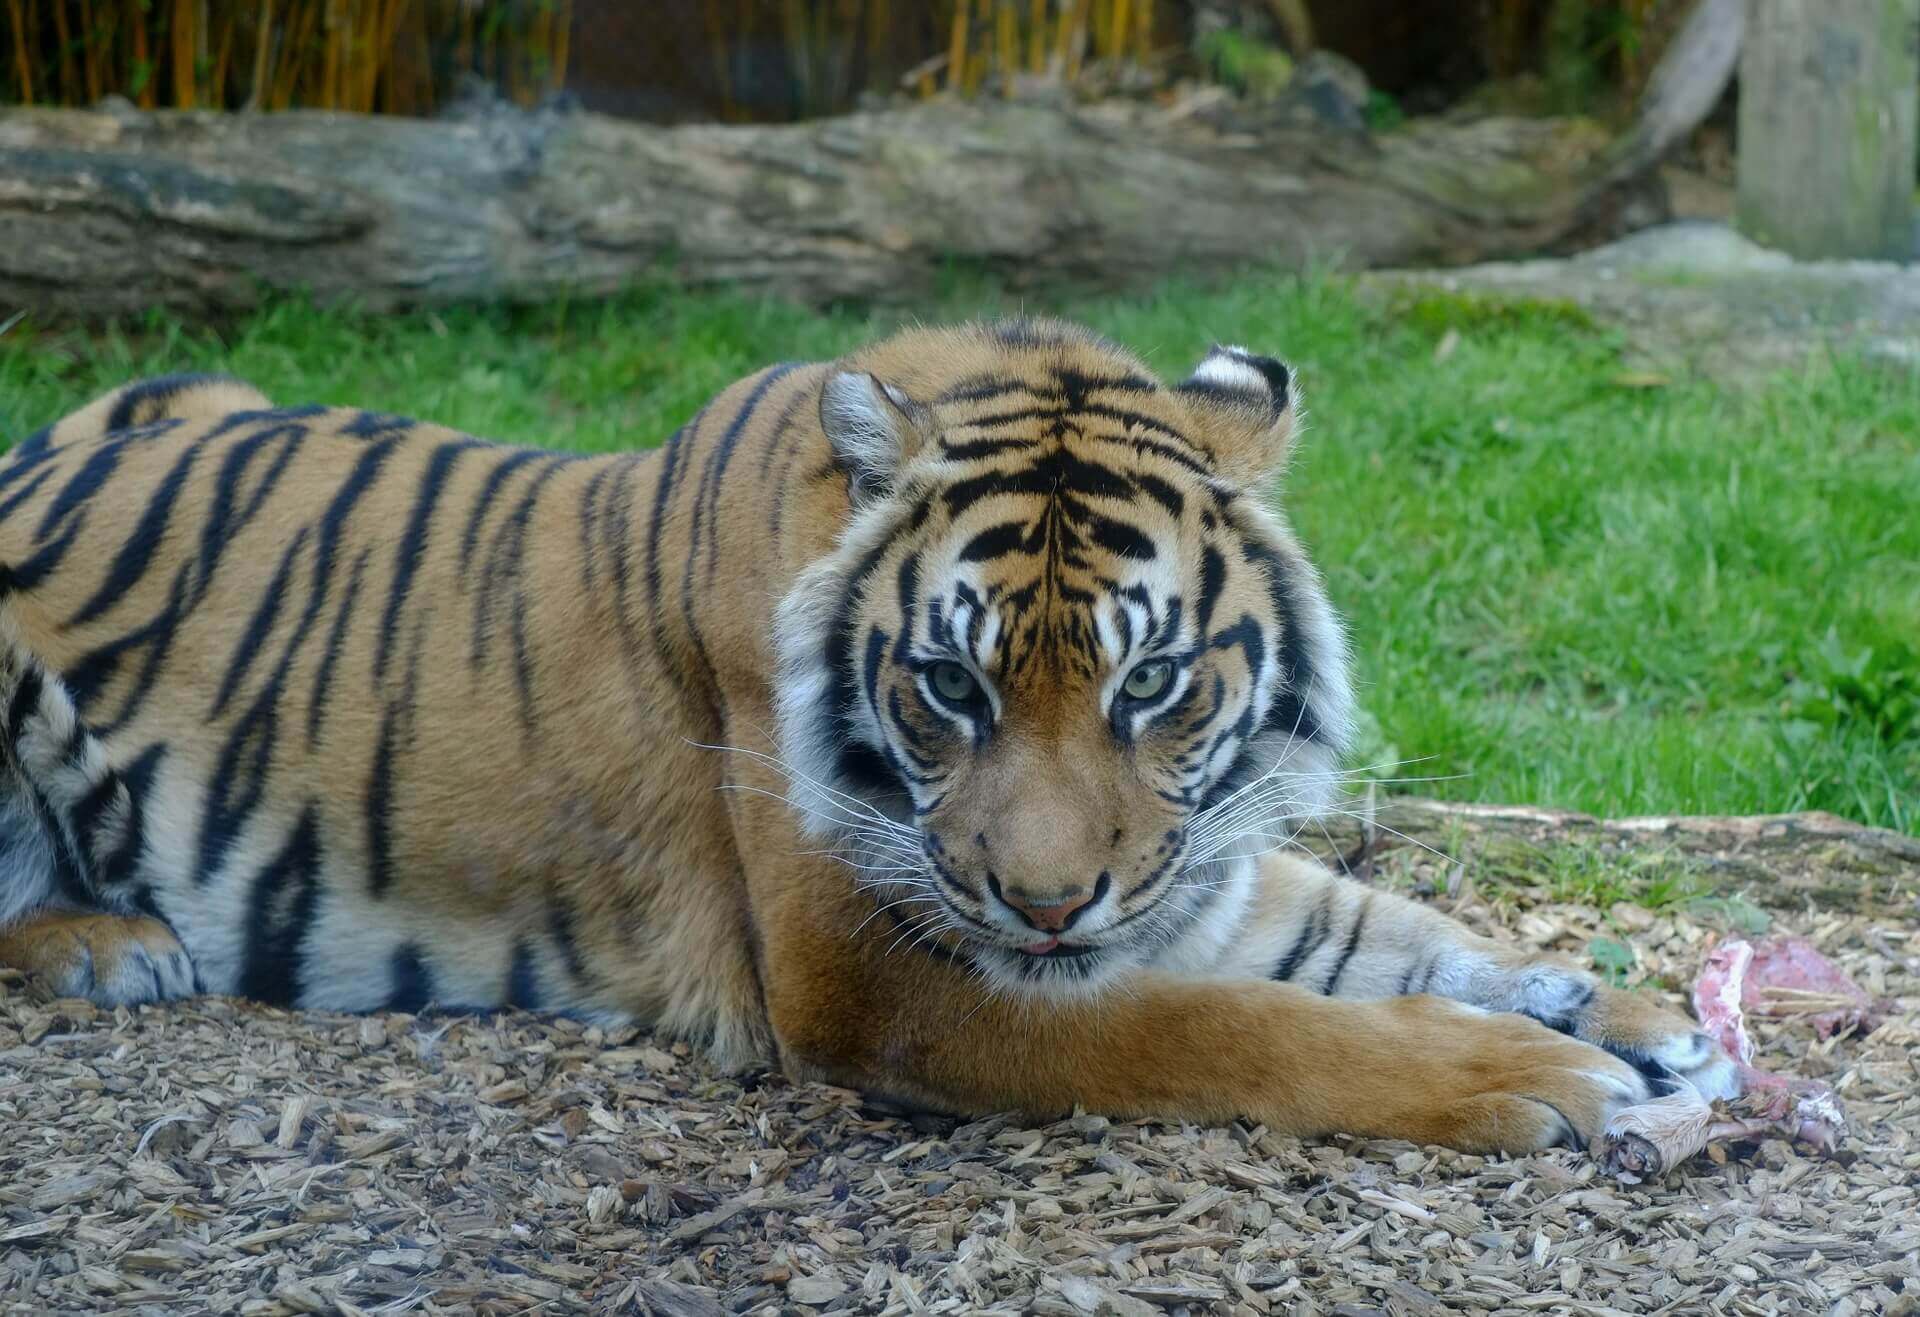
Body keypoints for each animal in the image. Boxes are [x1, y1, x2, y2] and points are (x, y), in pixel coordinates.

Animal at [0, 320, 1743, 1151]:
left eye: (1152, 686)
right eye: (949, 688)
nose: (1047, 903)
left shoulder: (1192, 865)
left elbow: (1387, 934)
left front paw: (1639, 1013)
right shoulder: (870, 978)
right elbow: (1231, 1024)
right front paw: (1544, 1076)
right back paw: (108, 945)